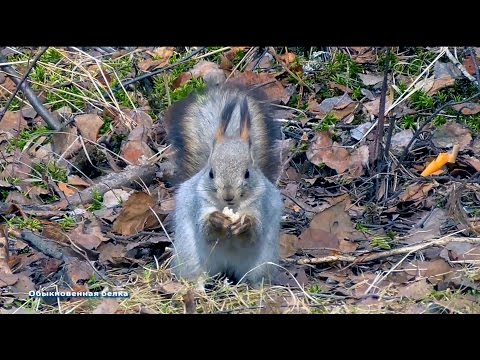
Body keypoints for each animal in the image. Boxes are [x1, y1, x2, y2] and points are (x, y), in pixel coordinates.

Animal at [164, 82, 284, 284]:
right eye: (211, 173)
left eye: (247, 173)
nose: (228, 196)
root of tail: (226, 266)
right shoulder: (199, 203)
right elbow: (205, 231)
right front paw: (216, 220)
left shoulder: (262, 204)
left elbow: (255, 232)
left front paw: (245, 224)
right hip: (190, 259)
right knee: (197, 276)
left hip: (261, 265)